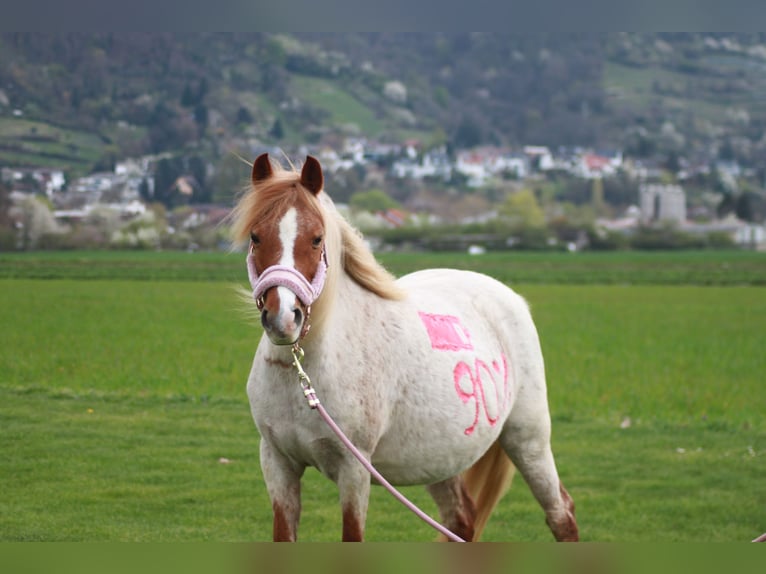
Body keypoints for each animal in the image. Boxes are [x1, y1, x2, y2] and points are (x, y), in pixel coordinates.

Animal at [231, 153, 579, 542]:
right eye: (255, 236)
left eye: (317, 238)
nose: (283, 317)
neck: (305, 377)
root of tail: (510, 297)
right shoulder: (277, 463)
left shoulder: (354, 469)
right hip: (440, 457)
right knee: (462, 518)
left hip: (528, 440)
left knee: (561, 515)